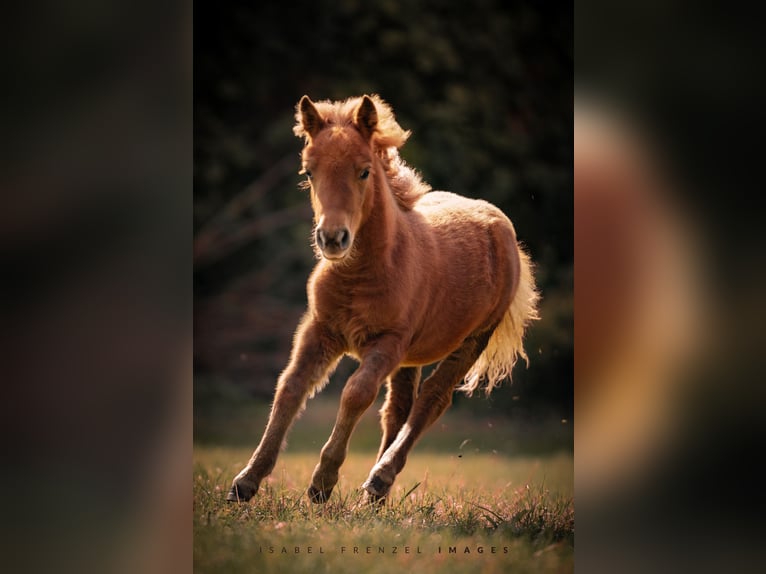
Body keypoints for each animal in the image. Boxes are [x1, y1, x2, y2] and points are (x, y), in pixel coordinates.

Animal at [228, 97, 540, 506]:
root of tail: (500, 224)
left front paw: (322, 483)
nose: (332, 238)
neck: (362, 273)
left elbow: (356, 393)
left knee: (431, 401)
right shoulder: (320, 330)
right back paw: (373, 496)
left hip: (471, 341)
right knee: (398, 407)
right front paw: (246, 481)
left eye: (363, 172)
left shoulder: (388, 342)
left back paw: (380, 477)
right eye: (309, 172)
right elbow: (290, 387)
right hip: (411, 355)